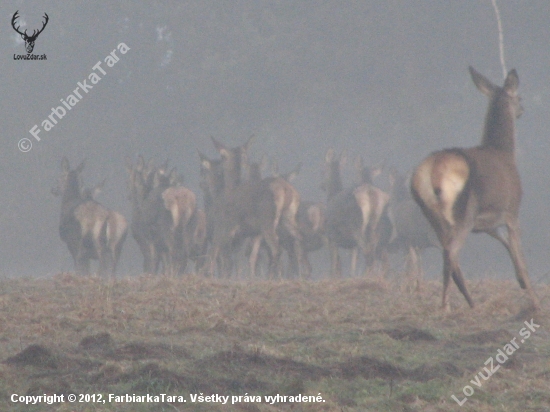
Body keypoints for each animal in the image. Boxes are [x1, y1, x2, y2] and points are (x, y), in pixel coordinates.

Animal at [412, 66, 540, 310]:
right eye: (519, 97)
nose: (522, 110)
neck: (505, 153)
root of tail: (432, 171)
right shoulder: (511, 210)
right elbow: (520, 256)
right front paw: (534, 298)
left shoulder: (486, 223)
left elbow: (506, 244)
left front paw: (521, 283)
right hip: (464, 211)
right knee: (451, 254)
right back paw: (446, 306)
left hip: (432, 215)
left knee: (449, 255)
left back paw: (469, 303)